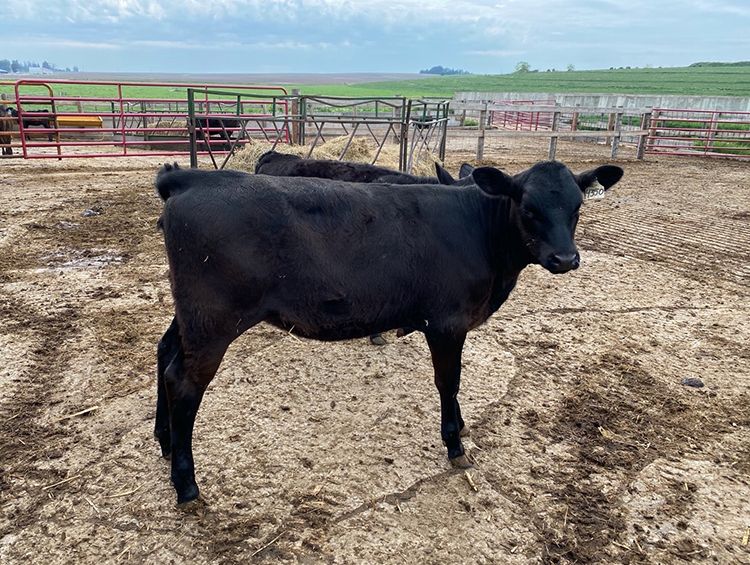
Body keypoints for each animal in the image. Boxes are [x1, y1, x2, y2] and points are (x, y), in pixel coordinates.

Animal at [156, 159, 624, 502]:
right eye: (528, 208)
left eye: (578, 208)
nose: (565, 259)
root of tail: (190, 178)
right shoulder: (447, 322)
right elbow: (449, 382)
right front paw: (454, 444)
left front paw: (462, 427)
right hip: (215, 318)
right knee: (184, 382)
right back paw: (186, 483)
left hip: (192, 313)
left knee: (165, 353)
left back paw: (163, 441)